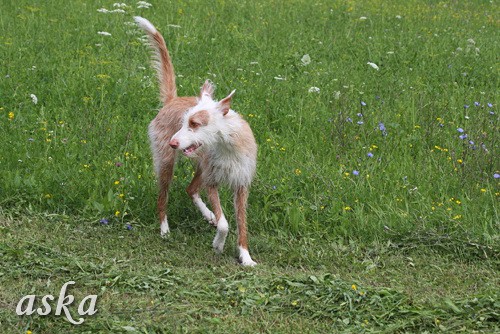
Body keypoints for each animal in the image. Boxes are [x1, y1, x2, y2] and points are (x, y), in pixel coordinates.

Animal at [134, 16, 258, 266]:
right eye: (183, 122)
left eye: (194, 123)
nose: (173, 142)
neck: (228, 147)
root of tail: (172, 100)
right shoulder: (212, 183)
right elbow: (225, 224)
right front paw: (218, 244)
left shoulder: (241, 186)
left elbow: (242, 225)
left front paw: (246, 256)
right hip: (166, 164)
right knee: (162, 199)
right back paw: (165, 230)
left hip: (200, 167)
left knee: (190, 189)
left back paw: (208, 215)